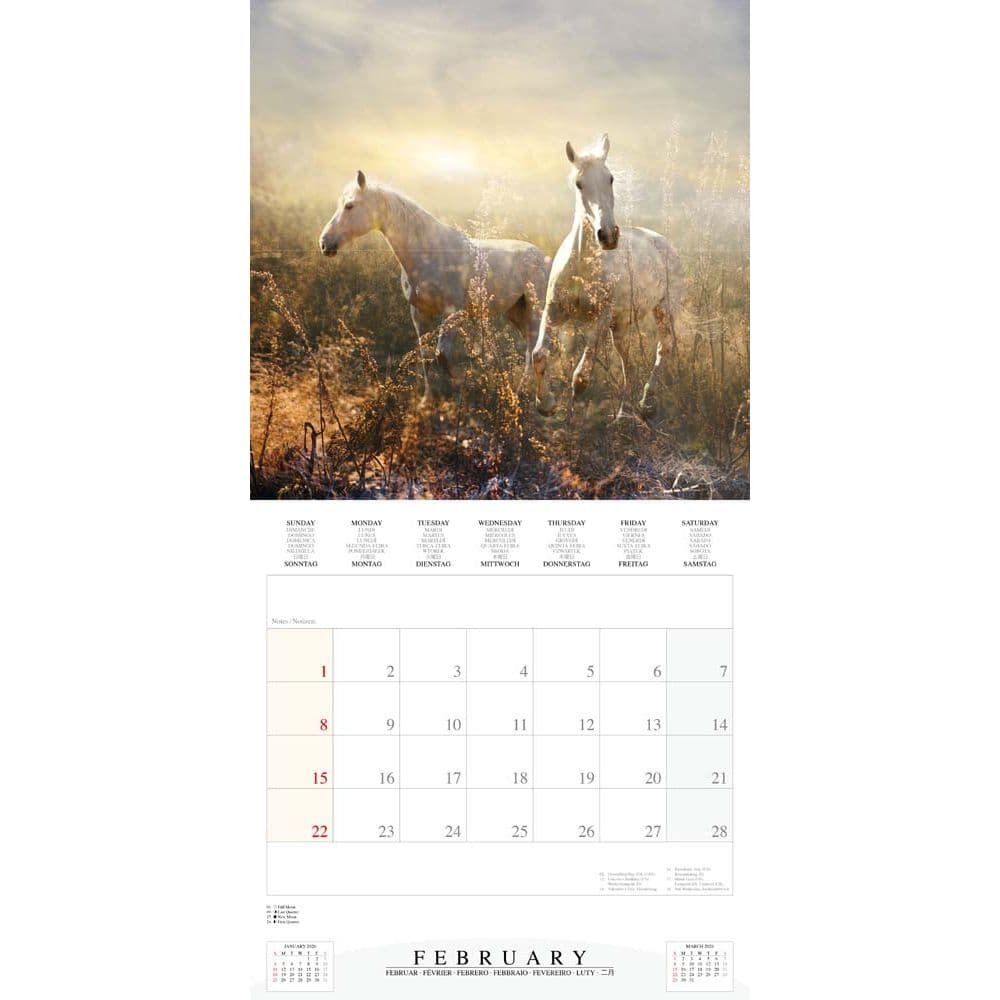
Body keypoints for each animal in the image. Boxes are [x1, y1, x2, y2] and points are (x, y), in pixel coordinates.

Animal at [320, 171, 549, 399]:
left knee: (537, 350)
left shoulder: (452, 312)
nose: (324, 244)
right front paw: (428, 399)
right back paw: (521, 393)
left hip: (534, 310)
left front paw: (461, 386)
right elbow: (425, 357)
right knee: (530, 348)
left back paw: (538, 400)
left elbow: (442, 355)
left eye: (350, 206)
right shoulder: (419, 313)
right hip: (516, 311)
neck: (429, 254)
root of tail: (543, 256)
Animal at [530, 135, 682, 419]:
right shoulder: (554, 311)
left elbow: (581, 375)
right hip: (621, 326)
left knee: (663, 349)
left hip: (664, 309)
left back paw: (646, 402)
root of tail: (663, 242)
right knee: (627, 362)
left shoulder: (602, 318)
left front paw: (573, 407)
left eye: (610, 178)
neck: (582, 266)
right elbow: (539, 355)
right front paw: (545, 403)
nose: (609, 235)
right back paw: (624, 412)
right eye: (579, 184)